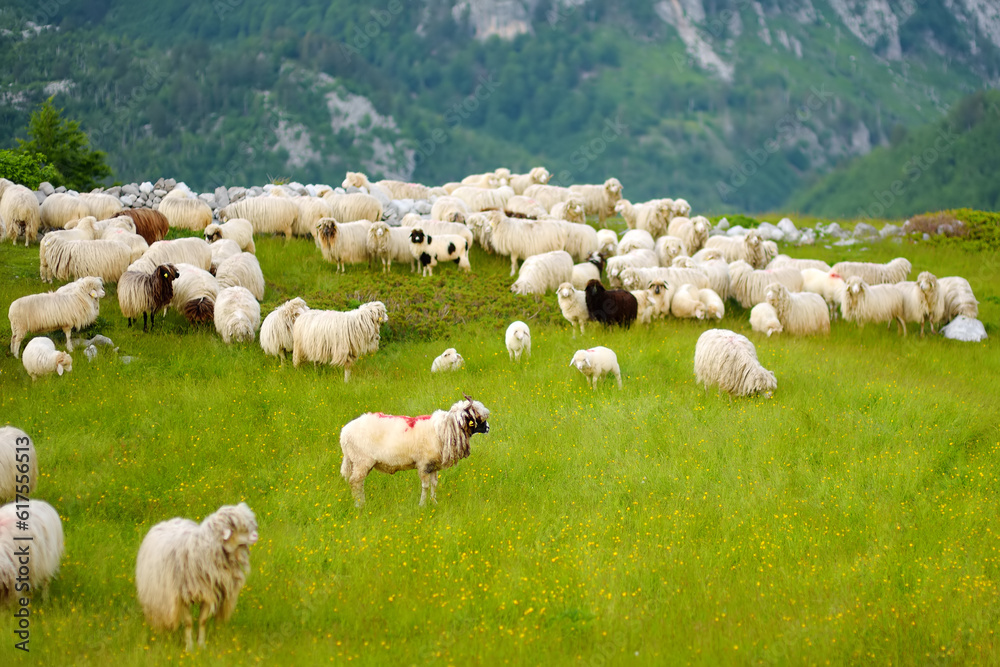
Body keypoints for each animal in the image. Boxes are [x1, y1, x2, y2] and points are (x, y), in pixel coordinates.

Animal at [135, 503, 258, 651]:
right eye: (238, 528)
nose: (256, 535)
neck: (201, 551)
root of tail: (168, 521)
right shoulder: (181, 597)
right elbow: (188, 622)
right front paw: (189, 648)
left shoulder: (209, 593)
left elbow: (202, 621)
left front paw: (201, 646)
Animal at [340, 396, 490, 507]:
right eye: (476, 418)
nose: (488, 428)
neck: (443, 430)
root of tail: (344, 433)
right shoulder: (423, 464)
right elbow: (425, 486)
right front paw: (422, 505)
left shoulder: (433, 465)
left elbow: (434, 484)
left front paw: (434, 502)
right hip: (361, 460)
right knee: (355, 482)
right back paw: (360, 505)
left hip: (358, 461)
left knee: (357, 482)